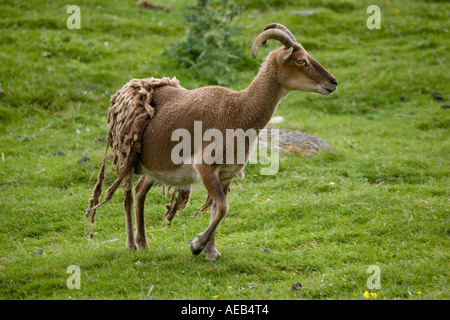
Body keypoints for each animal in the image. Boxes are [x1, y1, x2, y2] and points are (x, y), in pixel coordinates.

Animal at [85, 24, 338, 260]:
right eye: (301, 60)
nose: (333, 82)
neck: (240, 111)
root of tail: (127, 89)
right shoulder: (205, 167)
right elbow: (224, 208)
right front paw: (197, 245)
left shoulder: (225, 174)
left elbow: (217, 209)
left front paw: (211, 252)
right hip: (127, 157)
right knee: (127, 196)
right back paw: (131, 244)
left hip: (153, 167)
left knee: (139, 193)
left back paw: (144, 243)